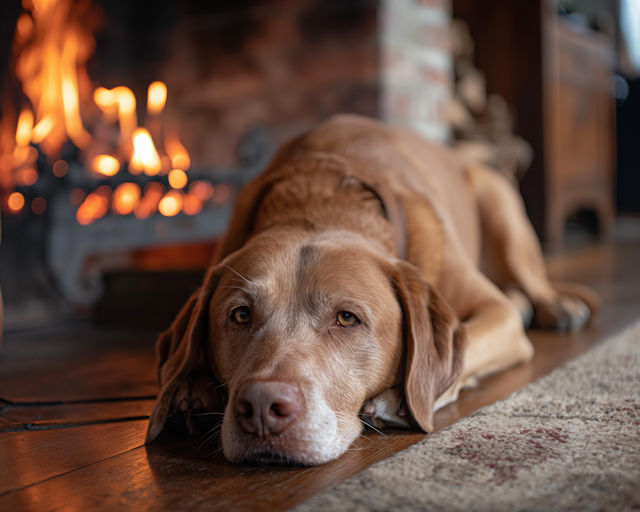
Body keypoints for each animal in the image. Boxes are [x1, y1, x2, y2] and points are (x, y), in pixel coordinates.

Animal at [145, 114, 600, 466]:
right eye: (240, 315)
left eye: (347, 318)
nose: (260, 406)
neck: (320, 202)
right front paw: (192, 389)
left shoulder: (494, 311)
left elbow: (465, 352)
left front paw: (401, 398)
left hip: (500, 204)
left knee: (526, 282)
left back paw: (554, 305)